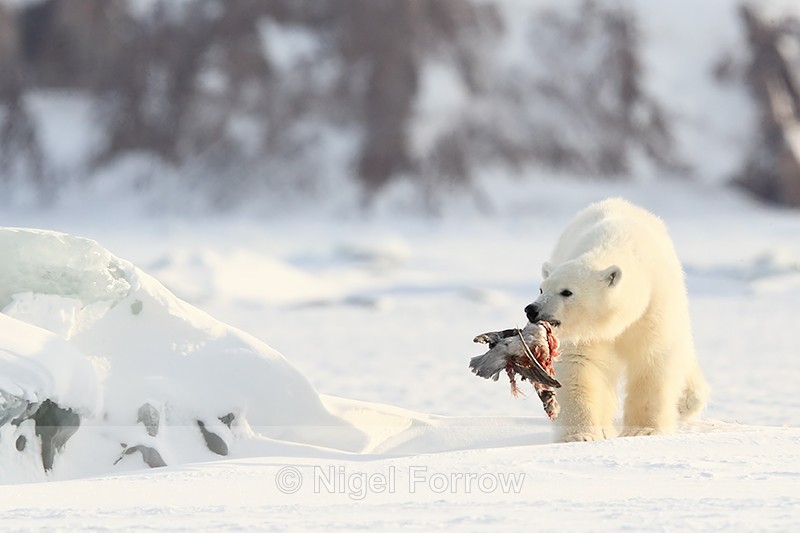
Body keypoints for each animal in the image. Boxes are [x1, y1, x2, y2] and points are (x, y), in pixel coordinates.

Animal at [524, 198, 709, 442]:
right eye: (541, 289)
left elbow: (652, 360)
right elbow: (580, 367)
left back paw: (688, 400)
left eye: (567, 292)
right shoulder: (585, 334)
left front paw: (643, 430)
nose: (532, 309)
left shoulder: (652, 308)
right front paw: (581, 434)